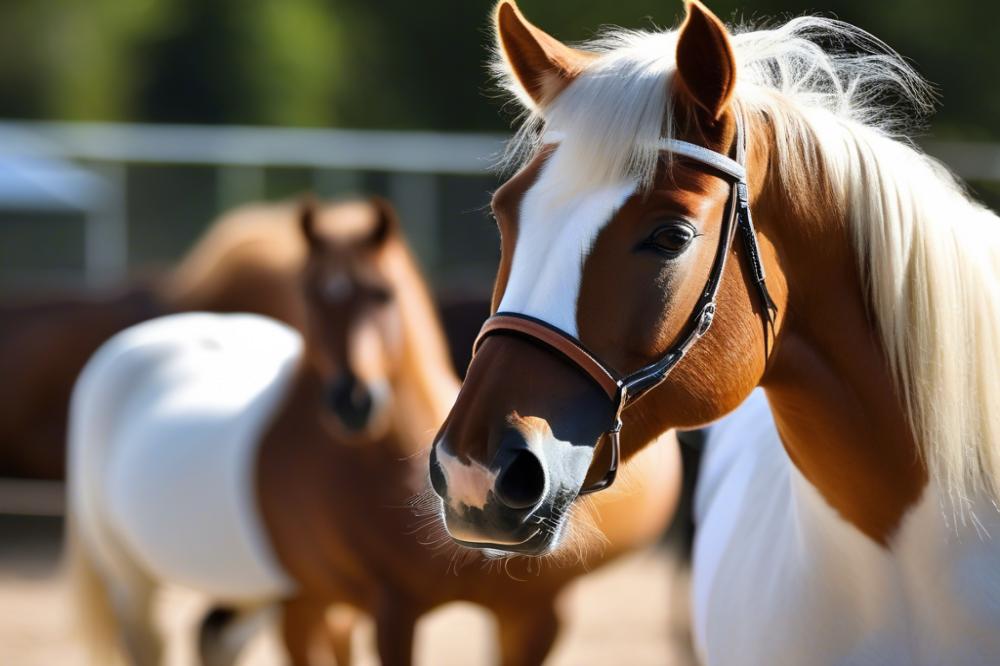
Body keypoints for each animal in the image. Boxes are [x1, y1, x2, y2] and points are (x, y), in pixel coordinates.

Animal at [64, 198, 680, 664]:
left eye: (383, 293)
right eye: (310, 293)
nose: (354, 402)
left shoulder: (529, 615)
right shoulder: (361, 609)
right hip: (135, 580)